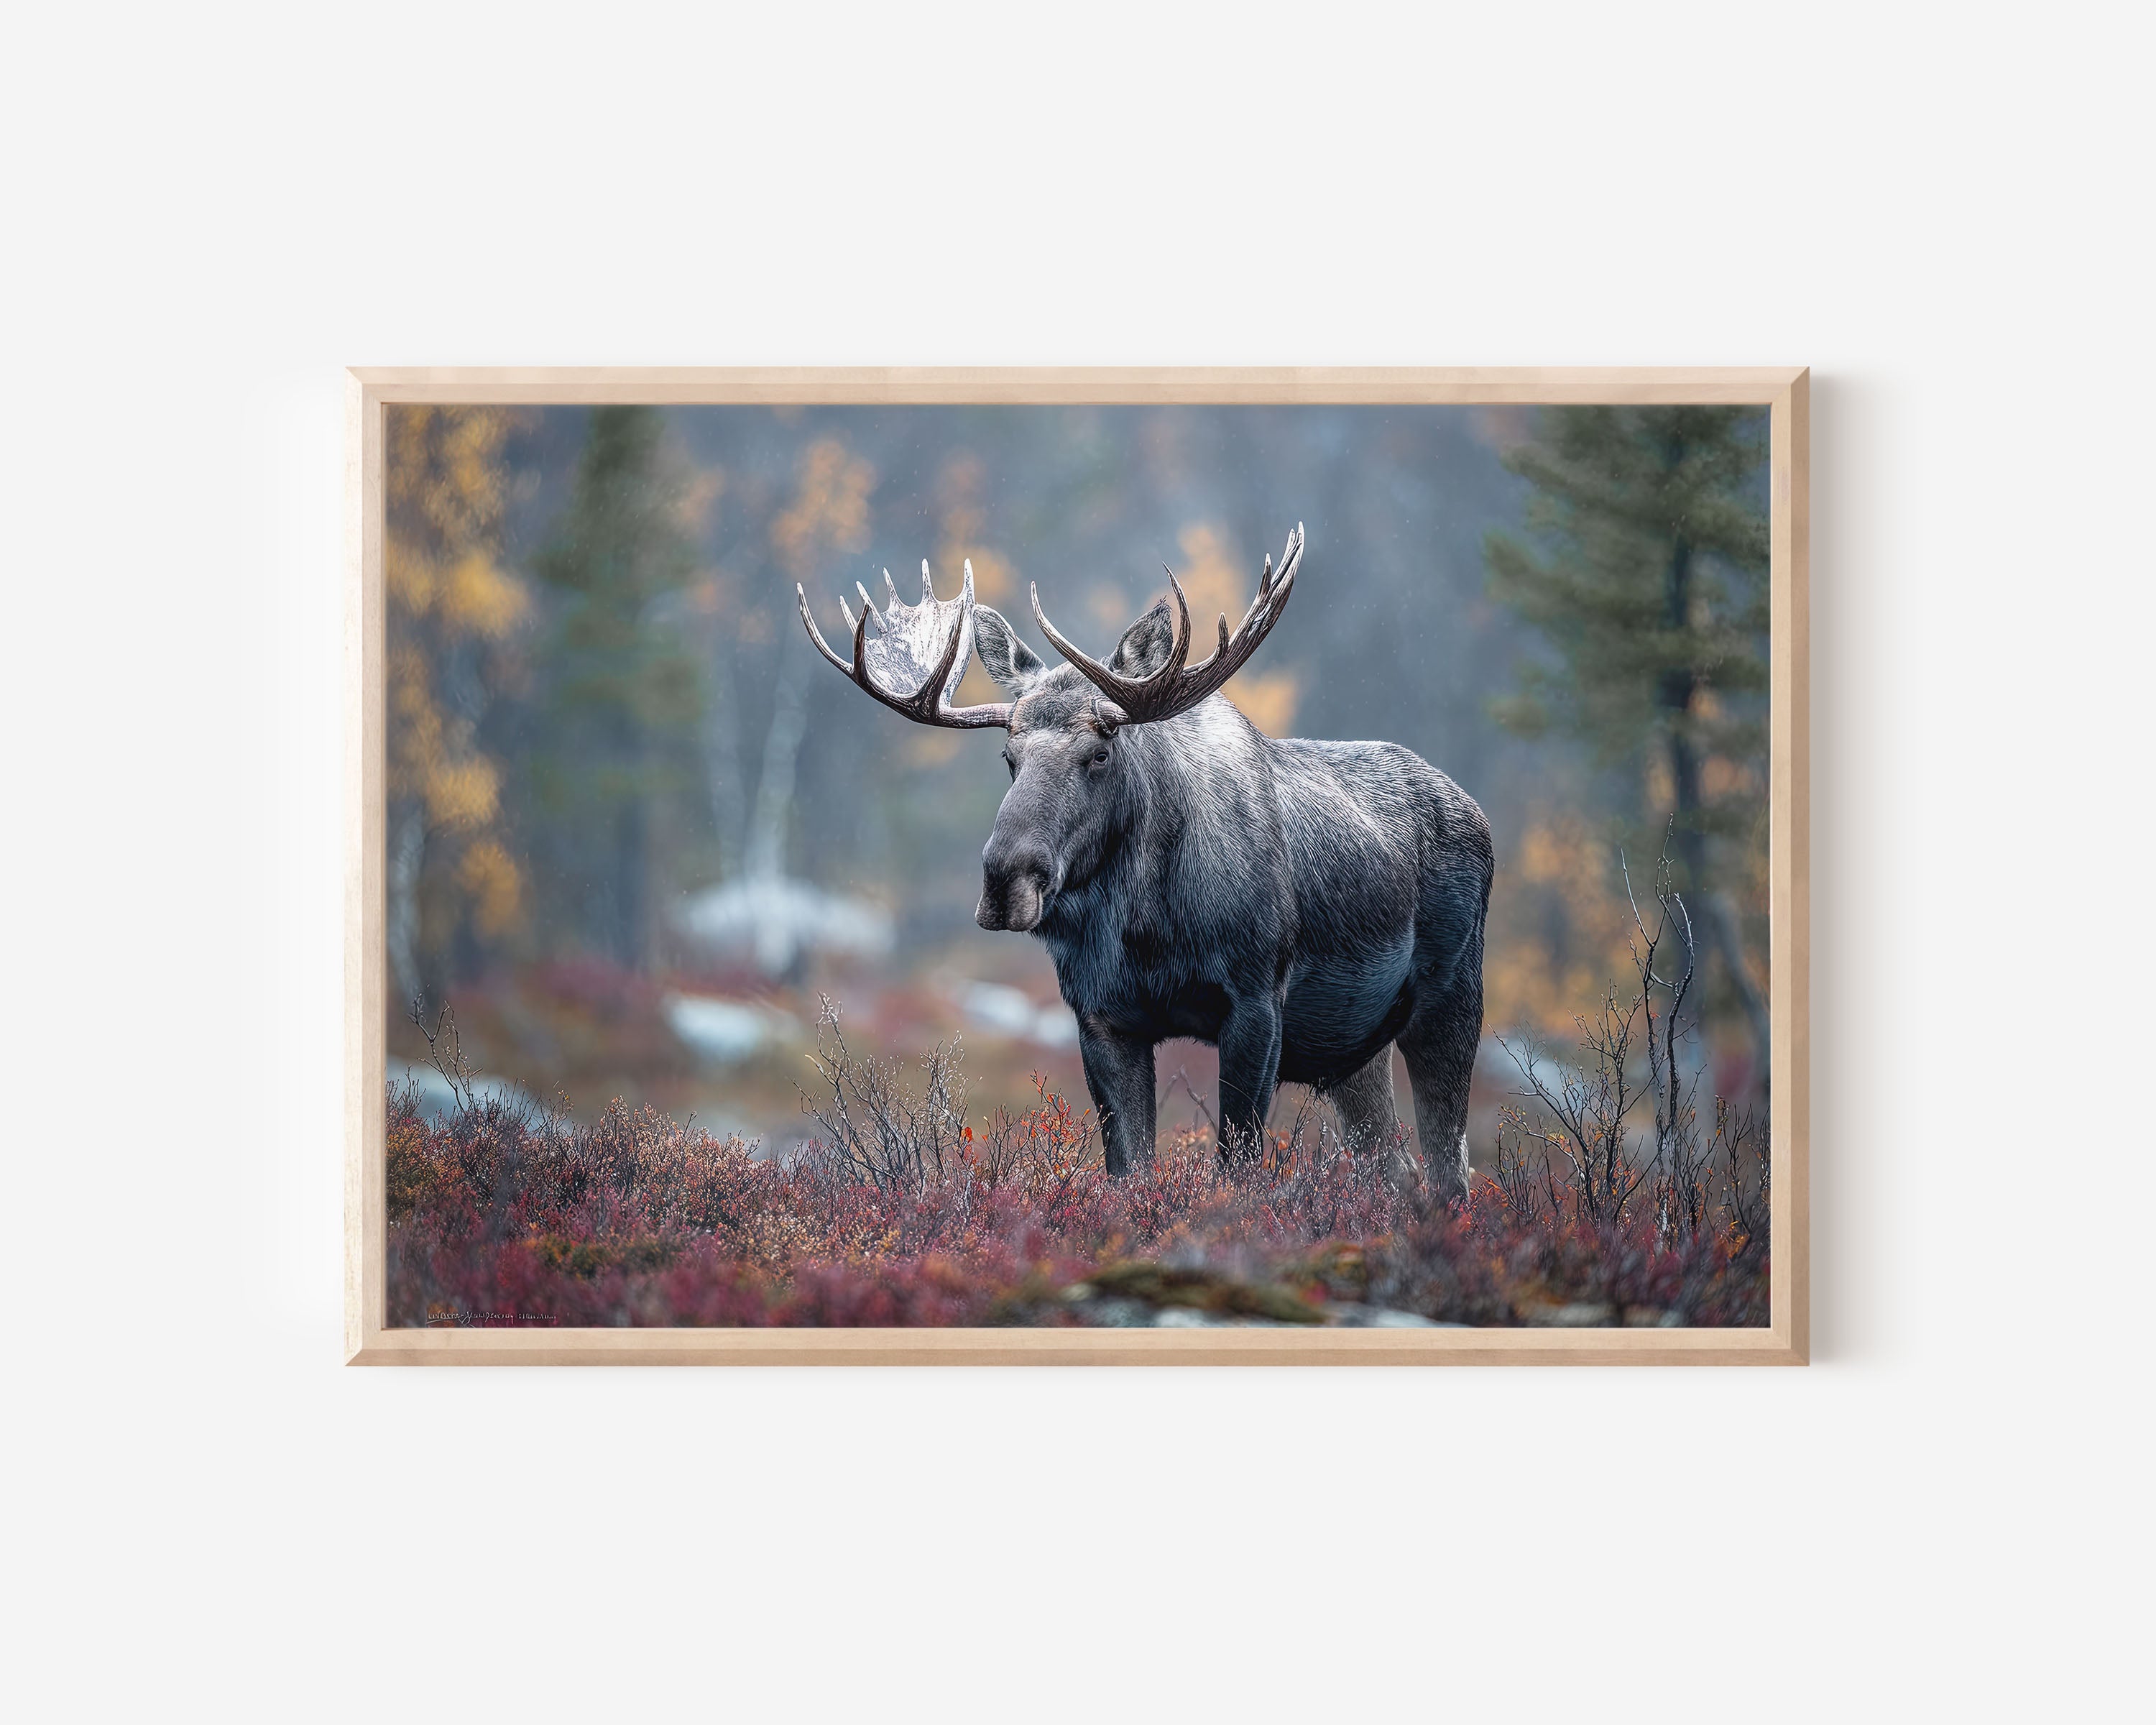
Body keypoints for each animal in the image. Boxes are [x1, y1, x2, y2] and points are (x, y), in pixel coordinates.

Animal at [797, 525, 1493, 1199]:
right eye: (1008, 757)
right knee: (1397, 1170)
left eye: (1100, 751)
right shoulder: (1101, 1016)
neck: (1149, 925)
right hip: (1350, 1048)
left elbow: (1236, 1174)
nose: (1005, 882)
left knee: (1449, 1170)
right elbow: (1129, 1173)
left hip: (1452, 997)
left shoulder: (1257, 998)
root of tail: (1476, 812)